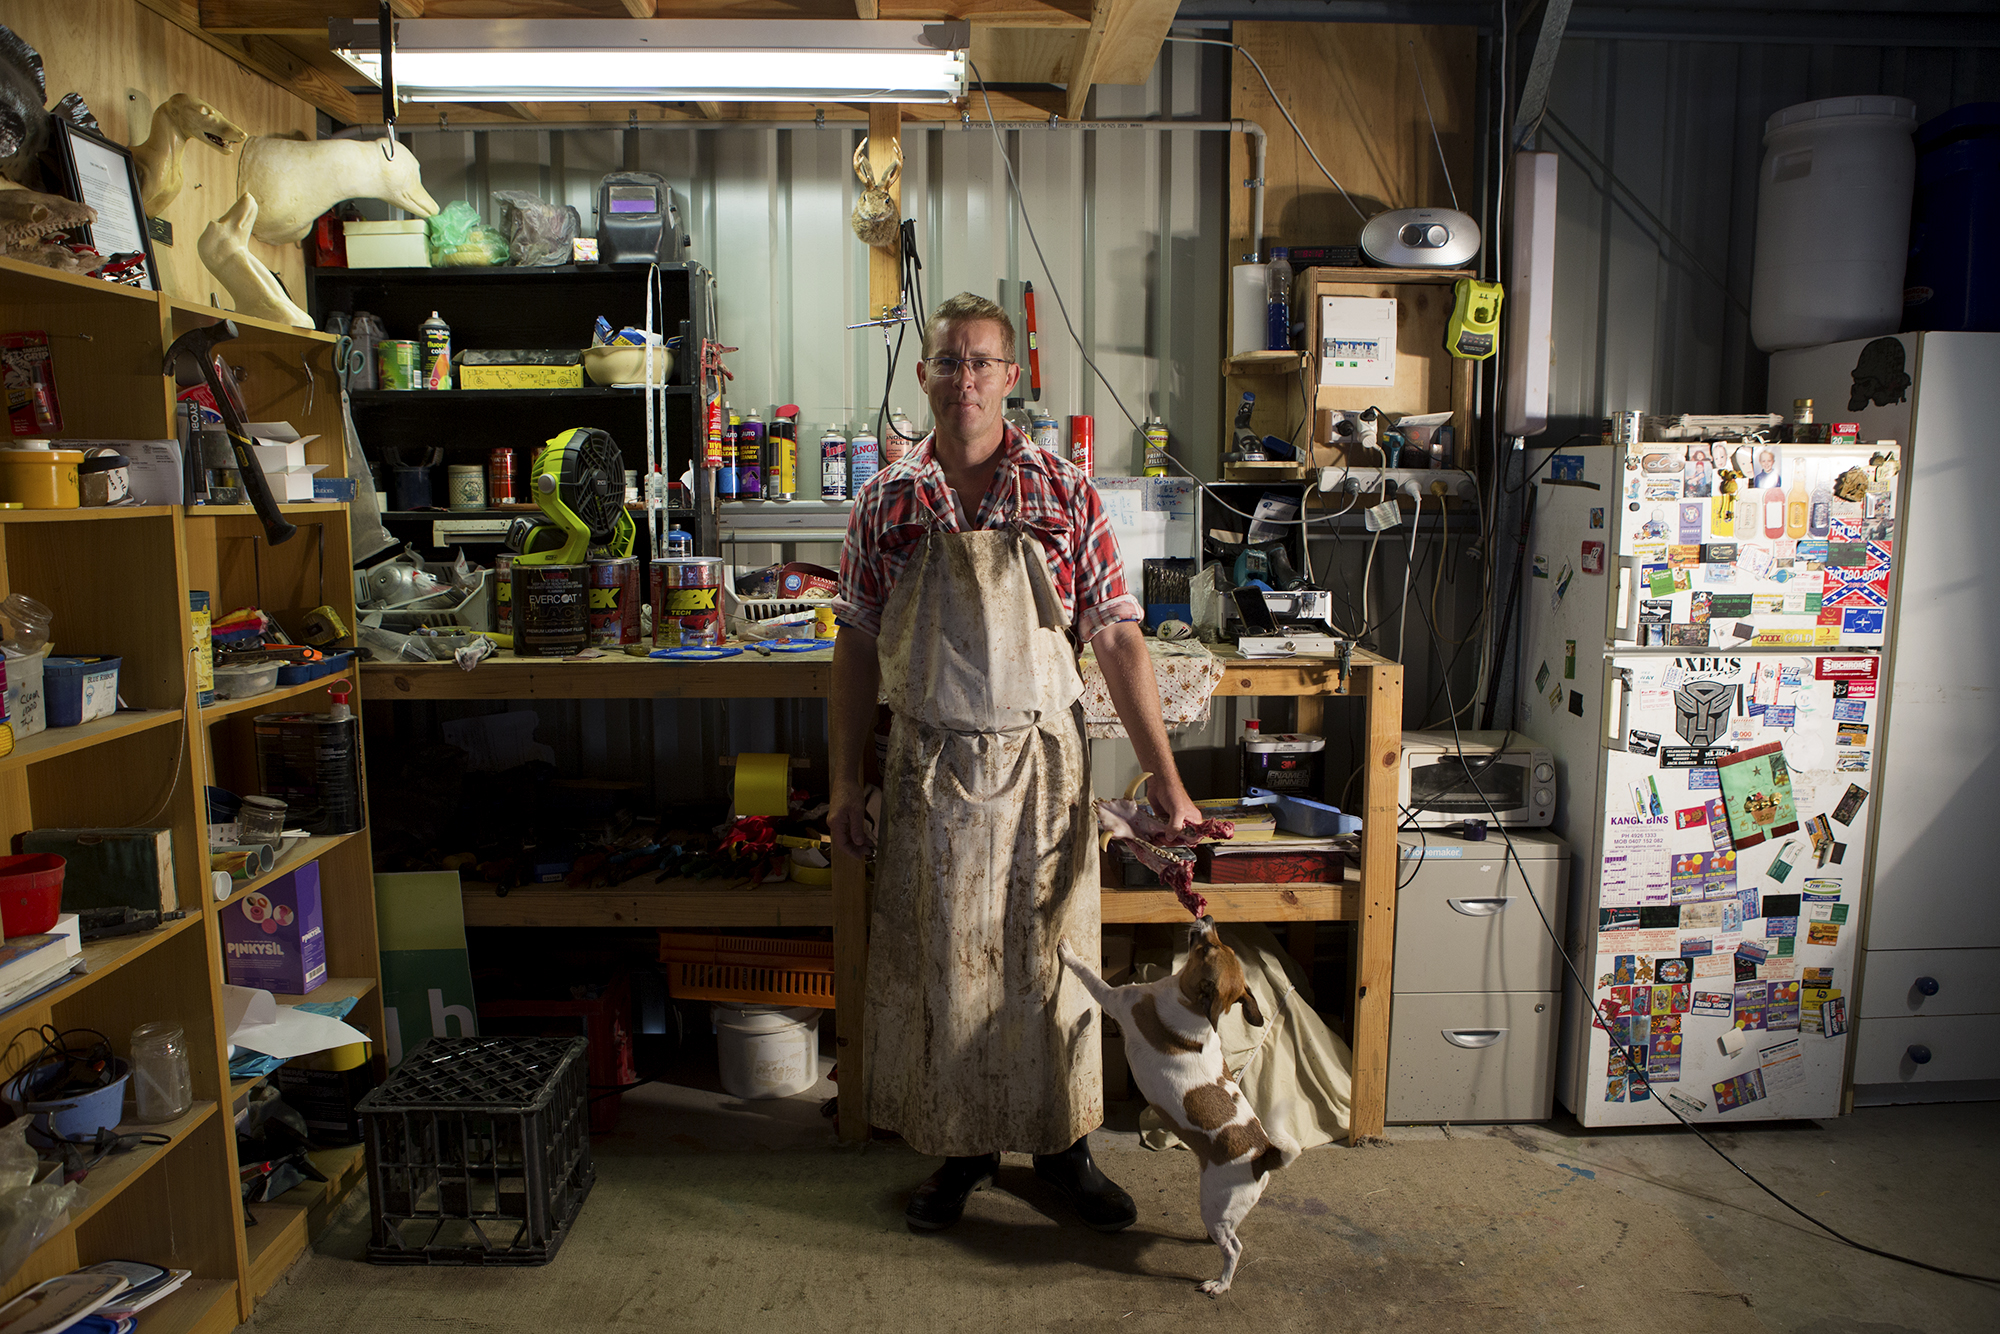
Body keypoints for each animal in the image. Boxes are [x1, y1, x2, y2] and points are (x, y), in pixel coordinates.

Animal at [1056, 920, 1304, 1296]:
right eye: (1220, 944)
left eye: (1207, 949)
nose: (1208, 918)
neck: (1192, 1006)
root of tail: (1264, 1156)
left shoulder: (1116, 998)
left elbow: (1088, 975)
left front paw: (1069, 953)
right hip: (1224, 1210)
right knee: (1230, 1234)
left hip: (1215, 1205)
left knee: (1234, 1248)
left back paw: (1219, 1284)